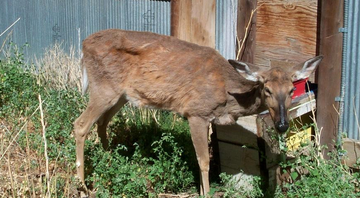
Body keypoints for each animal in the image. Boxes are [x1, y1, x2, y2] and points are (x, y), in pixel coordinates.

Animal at [74, 28, 324, 197]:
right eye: (267, 89)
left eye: (291, 90)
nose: (282, 124)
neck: (228, 96)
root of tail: (83, 45)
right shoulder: (196, 113)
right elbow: (204, 161)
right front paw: (206, 193)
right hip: (103, 88)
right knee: (80, 125)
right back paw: (83, 186)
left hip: (121, 95)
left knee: (101, 124)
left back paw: (110, 162)